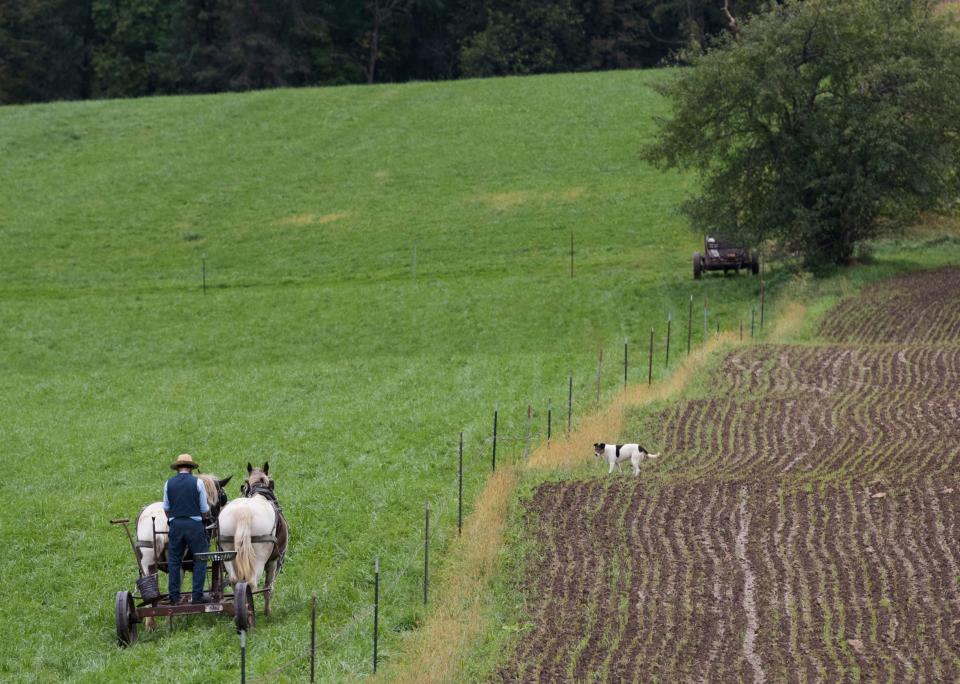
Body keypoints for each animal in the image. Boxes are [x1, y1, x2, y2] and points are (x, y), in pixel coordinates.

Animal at [218, 462, 286, 616]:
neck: (260, 493)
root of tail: (243, 514)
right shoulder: (273, 561)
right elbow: (268, 588)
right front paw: (268, 612)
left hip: (228, 553)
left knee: (234, 581)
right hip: (260, 558)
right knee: (251, 583)